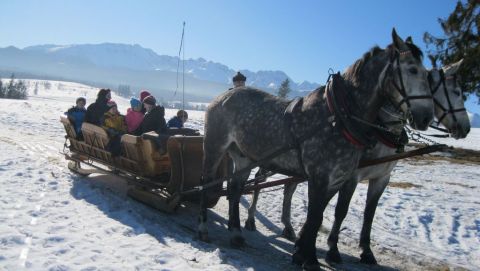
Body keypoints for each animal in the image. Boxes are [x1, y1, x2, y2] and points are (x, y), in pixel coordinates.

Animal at [197, 28, 434, 270]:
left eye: (427, 73)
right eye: (412, 69)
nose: (426, 117)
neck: (339, 117)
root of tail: (222, 96)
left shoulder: (338, 178)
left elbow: (318, 217)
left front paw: (301, 254)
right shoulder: (320, 176)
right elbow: (315, 217)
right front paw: (310, 259)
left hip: (244, 157)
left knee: (235, 189)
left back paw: (236, 234)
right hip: (215, 148)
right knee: (207, 183)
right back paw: (204, 229)